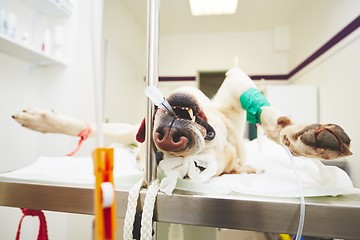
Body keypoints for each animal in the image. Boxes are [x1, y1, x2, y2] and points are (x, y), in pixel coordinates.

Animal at [11, 67, 352, 182]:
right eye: (156, 156)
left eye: (198, 167)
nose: (167, 139)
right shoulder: (131, 132)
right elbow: (95, 127)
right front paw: (40, 118)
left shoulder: (235, 82)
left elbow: (271, 121)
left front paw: (302, 137)